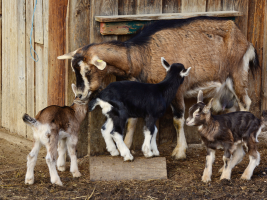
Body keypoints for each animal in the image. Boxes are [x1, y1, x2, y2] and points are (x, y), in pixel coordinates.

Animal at [58, 17, 260, 161]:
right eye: (74, 69)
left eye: (88, 70)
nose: (80, 95)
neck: (141, 55)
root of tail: (244, 38)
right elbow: (132, 121)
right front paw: (128, 146)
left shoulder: (177, 90)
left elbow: (178, 120)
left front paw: (179, 152)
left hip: (237, 72)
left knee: (245, 102)